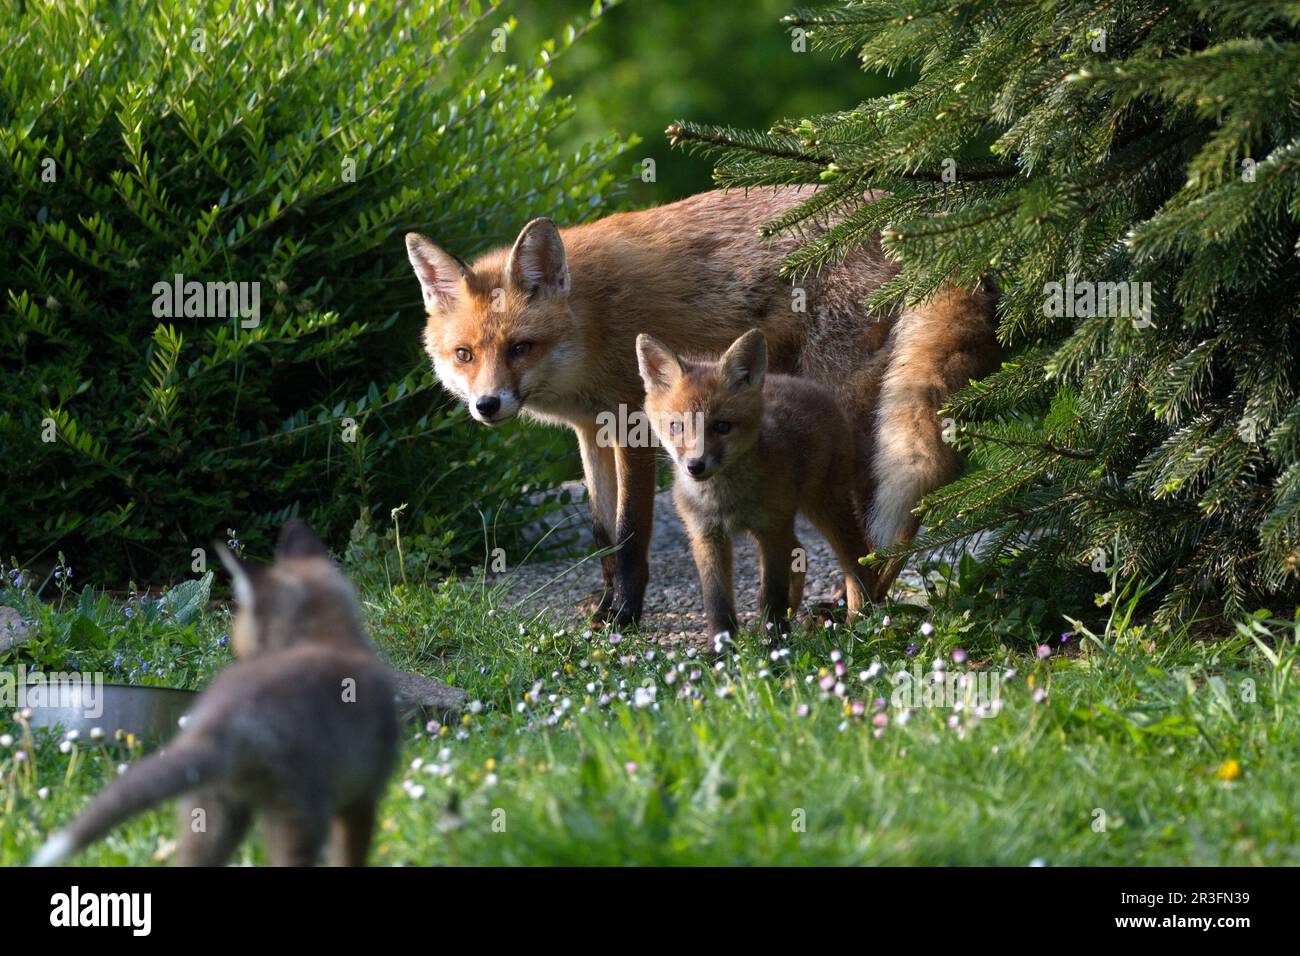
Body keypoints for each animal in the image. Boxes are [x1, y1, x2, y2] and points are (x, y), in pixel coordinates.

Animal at [634, 330, 868, 642]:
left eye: (722, 426)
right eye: (676, 427)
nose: (695, 466)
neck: (724, 502)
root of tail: (807, 384)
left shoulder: (771, 530)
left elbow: (771, 594)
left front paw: (775, 642)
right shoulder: (707, 535)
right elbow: (717, 600)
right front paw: (720, 646)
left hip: (825, 506)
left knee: (857, 559)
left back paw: (863, 617)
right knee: (800, 550)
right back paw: (796, 610)